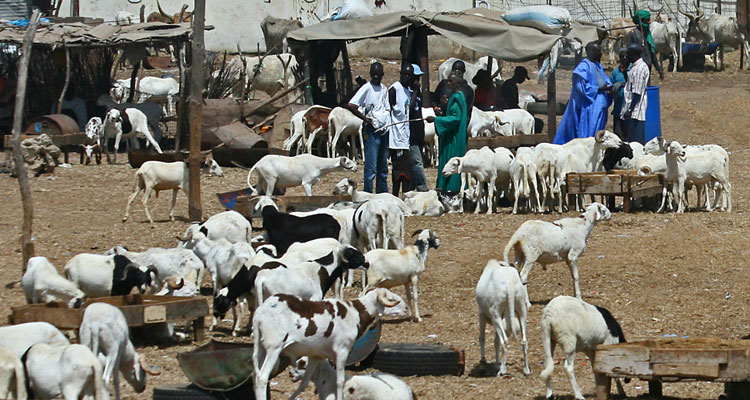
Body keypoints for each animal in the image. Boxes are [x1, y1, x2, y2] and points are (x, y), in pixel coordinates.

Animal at [254, 288, 406, 400]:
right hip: (274, 349)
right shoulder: (342, 351)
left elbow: (304, 382)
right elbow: (340, 381)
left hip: (261, 349)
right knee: (262, 379)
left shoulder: (316, 356)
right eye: (391, 299)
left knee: (256, 378)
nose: (406, 308)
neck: (355, 314)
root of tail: (260, 312)